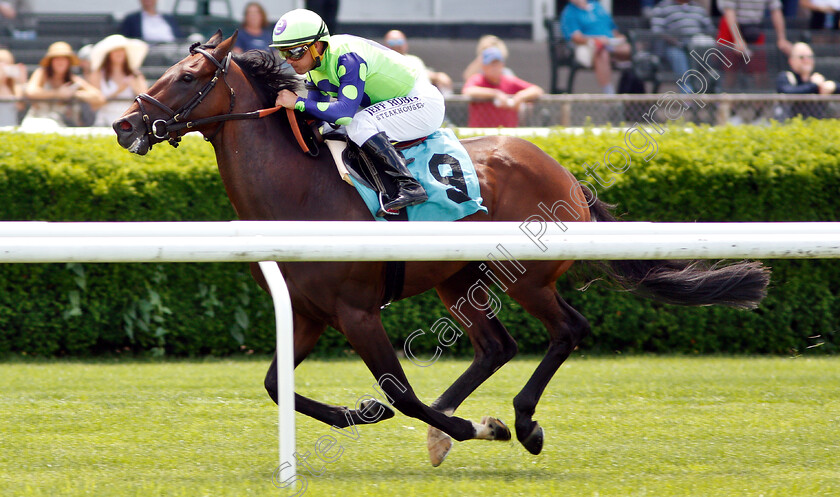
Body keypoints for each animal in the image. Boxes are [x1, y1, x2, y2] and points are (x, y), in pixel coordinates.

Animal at [115, 33, 772, 466]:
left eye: (187, 76)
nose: (125, 125)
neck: (300, 191)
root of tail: (565, 174)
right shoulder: (306, 312)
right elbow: (279, 386)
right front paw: (376, 416)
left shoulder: (356, 311)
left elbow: (399, 392)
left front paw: (460, 424)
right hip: (459, 280)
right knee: (496, 346)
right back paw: (458, 427)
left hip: (526, 277)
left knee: (568, 329)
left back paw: (522, 422)